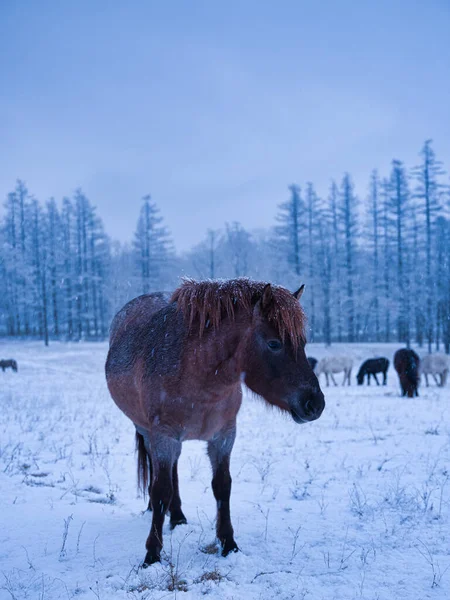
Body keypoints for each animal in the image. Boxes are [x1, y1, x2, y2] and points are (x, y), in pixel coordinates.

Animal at [105, 278, 324, 564]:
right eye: (274, 344)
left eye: (303, 342)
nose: (315, 403)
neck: (196, 372)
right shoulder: (163, 435)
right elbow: (160, 489)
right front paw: (152, 554)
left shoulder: (224, 436)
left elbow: (222, 486)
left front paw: (228, 543)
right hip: (147, 431)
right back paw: (160, 511)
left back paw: (177, 517)